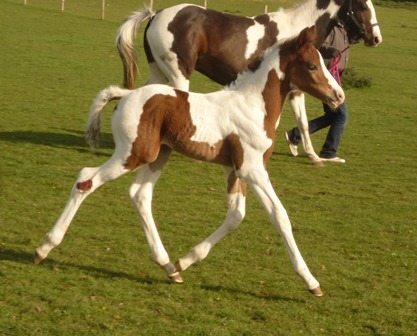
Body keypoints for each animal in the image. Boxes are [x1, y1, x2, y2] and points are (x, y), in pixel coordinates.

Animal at [34, 27, 342, 296]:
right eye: (312, 66)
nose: (338, 96)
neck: (252, 104)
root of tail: (127, 95)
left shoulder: (235, 169)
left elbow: (235, 216)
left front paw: (187, 259)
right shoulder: (252, 168)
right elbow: (280, 215)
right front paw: (311, 281)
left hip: (159, 155)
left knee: (139, 195)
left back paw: (169, 266)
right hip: (132, 154)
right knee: (86, 179)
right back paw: (44, 248)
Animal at [116, 0, 380, 164]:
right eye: (362, 6)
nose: (376, 38)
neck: (295, 34)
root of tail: (156, 15)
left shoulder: (294, 91)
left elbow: (303, 123)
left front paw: (314, 157)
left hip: (159, 73)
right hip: (179, 75)